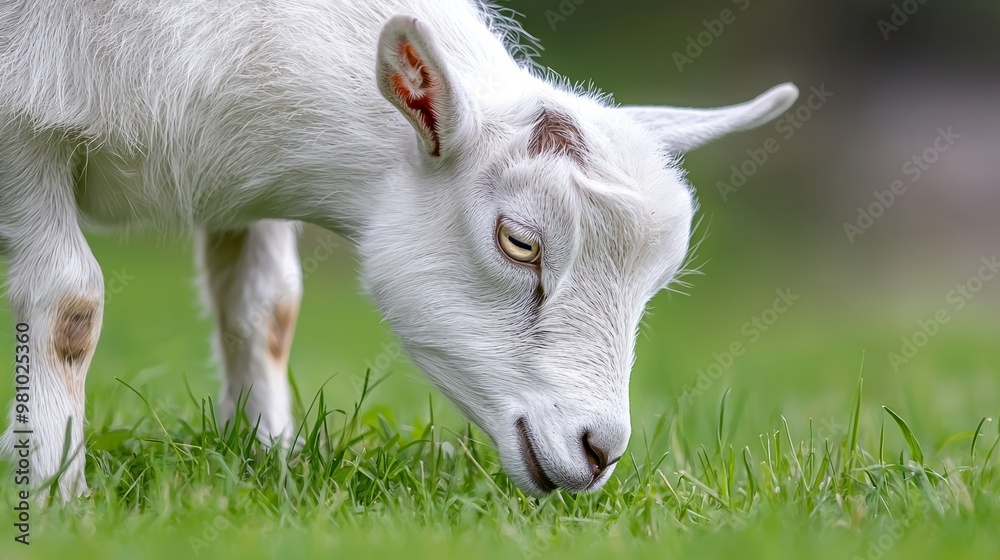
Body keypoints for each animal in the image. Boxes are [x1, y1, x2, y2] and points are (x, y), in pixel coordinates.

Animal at [0, 0, 797, 499]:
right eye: (519, 242)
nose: (600, 450)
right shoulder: (25, 127)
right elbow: (70, 304)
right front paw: (57, 488)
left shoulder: (236, 171)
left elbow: (266, 309)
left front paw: (267, 456)